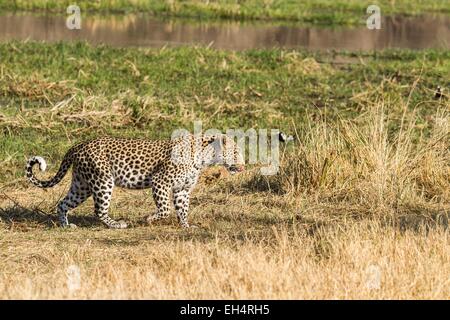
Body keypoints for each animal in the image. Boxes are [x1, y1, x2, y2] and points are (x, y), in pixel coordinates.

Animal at [26, 134, 244, 229]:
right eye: (235, 153)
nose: (242, 167)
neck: (204, 157)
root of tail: (78, 145)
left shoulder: (182, 189)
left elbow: (183, 209)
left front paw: (186, 226)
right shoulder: (160, 181)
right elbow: (165, 209)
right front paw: (149, 219)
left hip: (82, 185)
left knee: (63, 203)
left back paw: (65, 225)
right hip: (103, 181)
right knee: (99, 210)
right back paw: (116, 225)